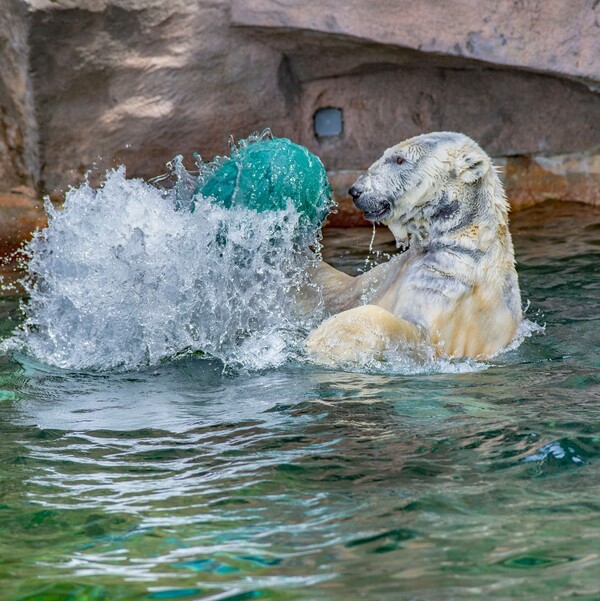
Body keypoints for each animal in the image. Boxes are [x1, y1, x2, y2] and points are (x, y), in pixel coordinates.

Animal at [304, 132, 520, 366]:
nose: (355, 191)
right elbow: (340, 290)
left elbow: (417, 332)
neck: (461, 237)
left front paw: (324, 337)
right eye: (386, 154)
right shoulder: (400, 267)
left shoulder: (451, 282)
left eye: (399, 159)